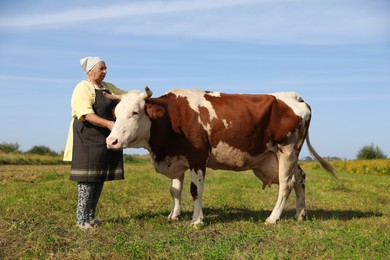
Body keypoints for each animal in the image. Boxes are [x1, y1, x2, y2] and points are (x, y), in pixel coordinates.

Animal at [104, 86, 336, 224]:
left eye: (135, 112)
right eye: (115, 113)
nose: (111, 141)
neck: (171, 117)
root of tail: (292, 96)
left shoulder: (197, 158)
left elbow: (195, 190)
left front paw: (197, 221)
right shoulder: (177, 160)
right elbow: (175, 191)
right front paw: (174, 216)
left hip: (287, 150)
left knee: (286, 184)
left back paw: (272, 218)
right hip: (279, 157)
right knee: (299, 178)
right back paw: (300, 214)